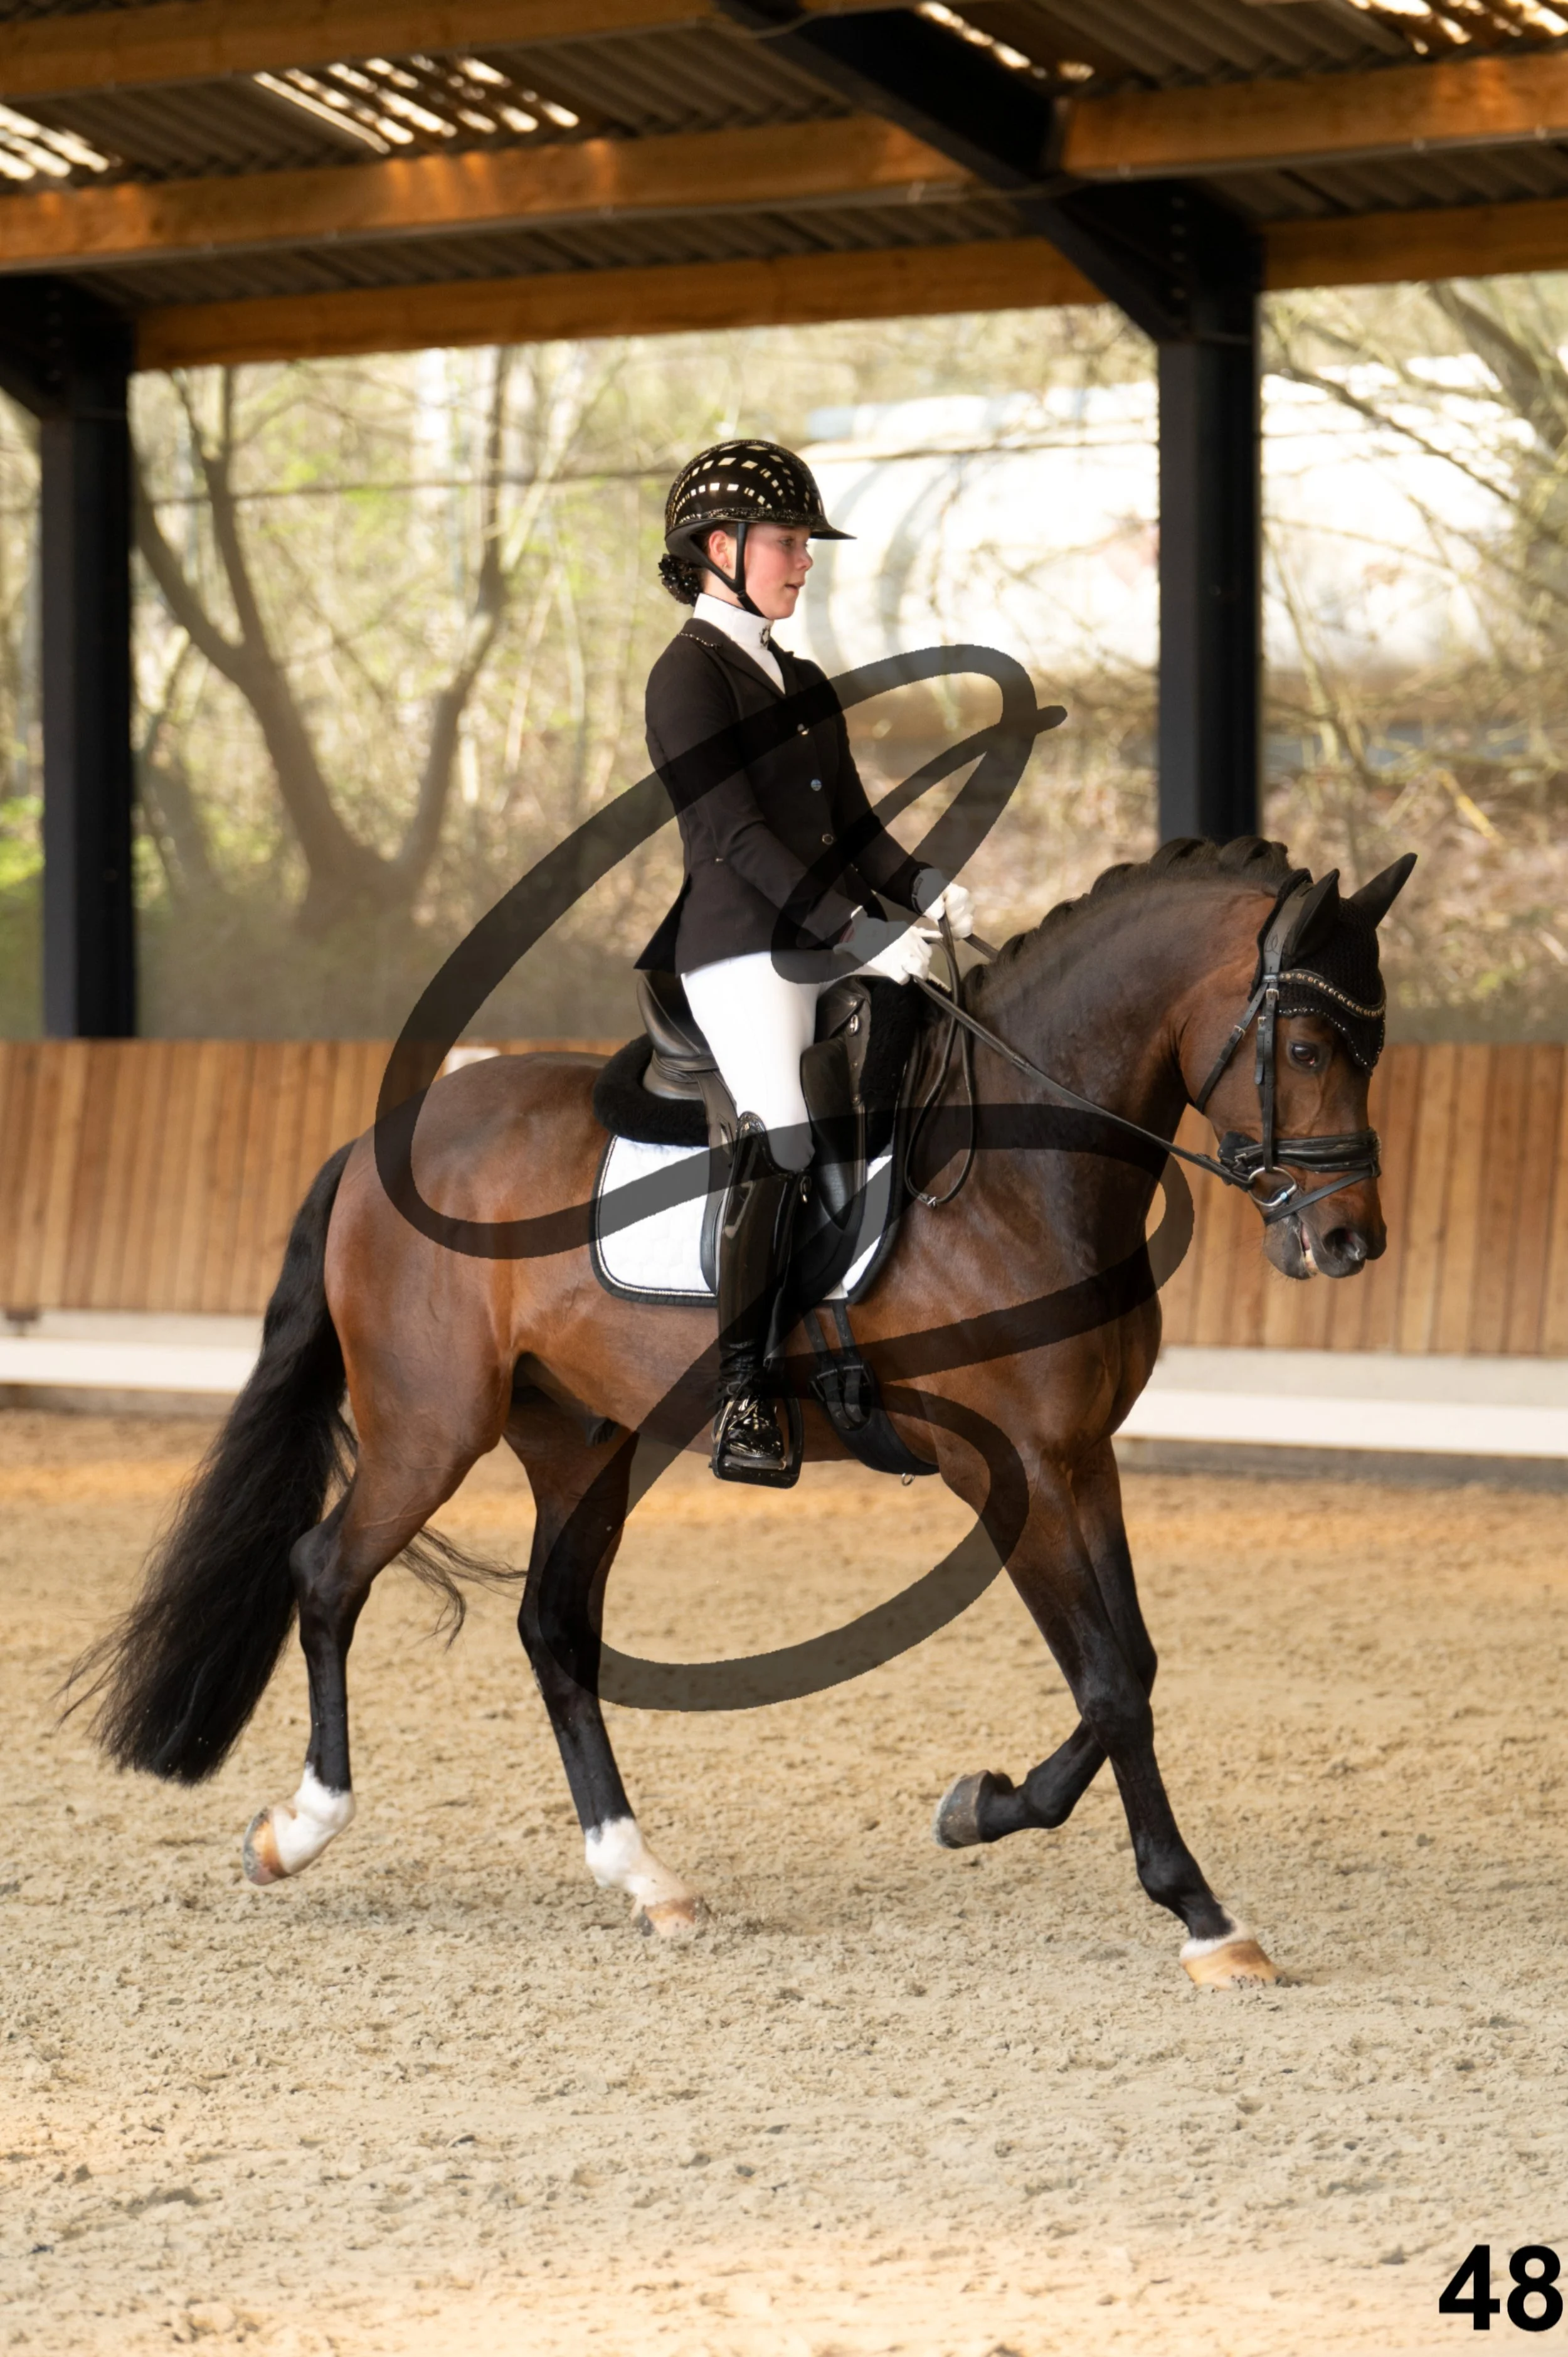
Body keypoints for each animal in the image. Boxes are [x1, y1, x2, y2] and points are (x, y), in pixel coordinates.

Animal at [79, 834, 1413, 1990]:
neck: (1019, 1168)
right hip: (429, 1429)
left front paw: (1007, 1818)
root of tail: (374, 1144)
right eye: (1306, 1045)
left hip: (583, 1442)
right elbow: (1108, 1683)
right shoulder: (1015, 1467)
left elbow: (1128, 1663)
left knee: (551, 1628)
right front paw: (1185, 1907)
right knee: (326, 1574)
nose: (1349, 1242)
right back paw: (298, 1828)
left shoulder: (1081, 1456)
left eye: (1376, 1043)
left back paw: (643, 1875)